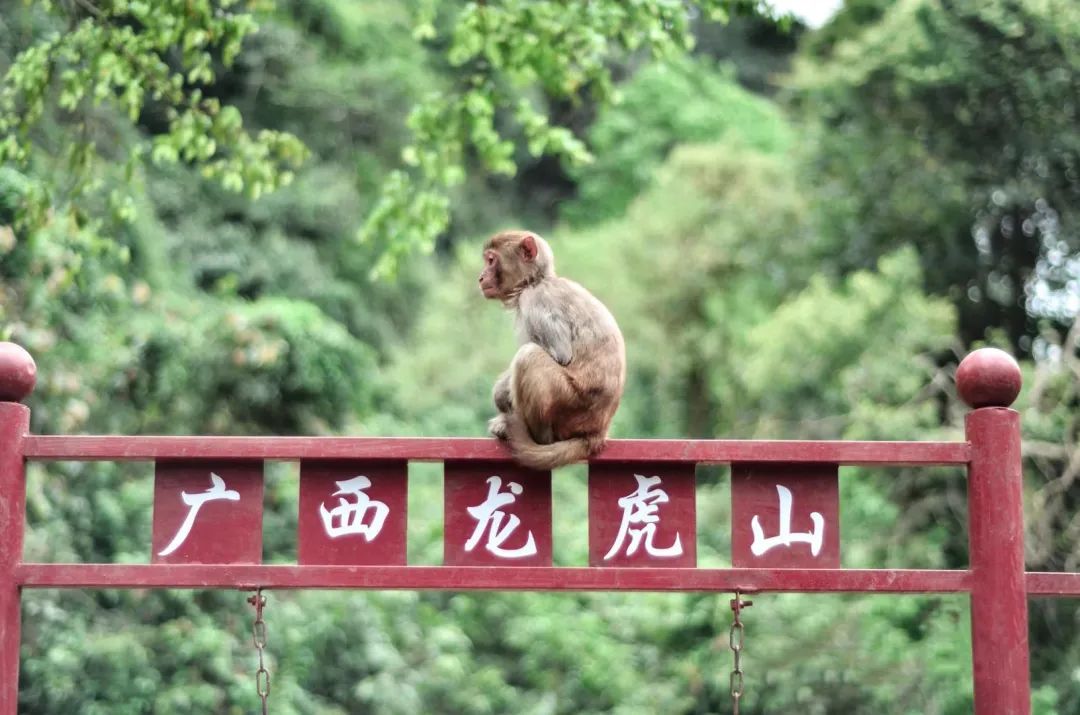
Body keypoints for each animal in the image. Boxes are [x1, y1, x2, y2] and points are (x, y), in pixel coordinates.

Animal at [479, 230, 630, 470]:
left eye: (491, 260)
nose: (481, 277)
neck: (536, 281)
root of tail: (597, 433)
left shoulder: (535, 300)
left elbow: (560, 354)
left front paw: (500, 394)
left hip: (570, 408)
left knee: (528, 357)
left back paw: (534, 436)